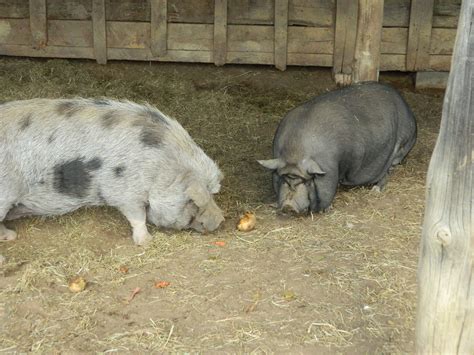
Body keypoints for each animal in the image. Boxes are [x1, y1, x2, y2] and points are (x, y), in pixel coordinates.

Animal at [0, 98, 225, 246]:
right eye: (194, 201)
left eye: (214, 193)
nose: (221, 220)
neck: (161, 168)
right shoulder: (125, 191)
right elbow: (137, 217)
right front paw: (147, 242)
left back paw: (10, 236)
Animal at [258, 81, 416, 213]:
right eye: (284, 179)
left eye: (307, 182)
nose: (288, 206)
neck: (295, 153)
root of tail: (408, 110)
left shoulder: (330, 169)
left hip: (400, 148)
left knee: (388, 170)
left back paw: (376, 190)